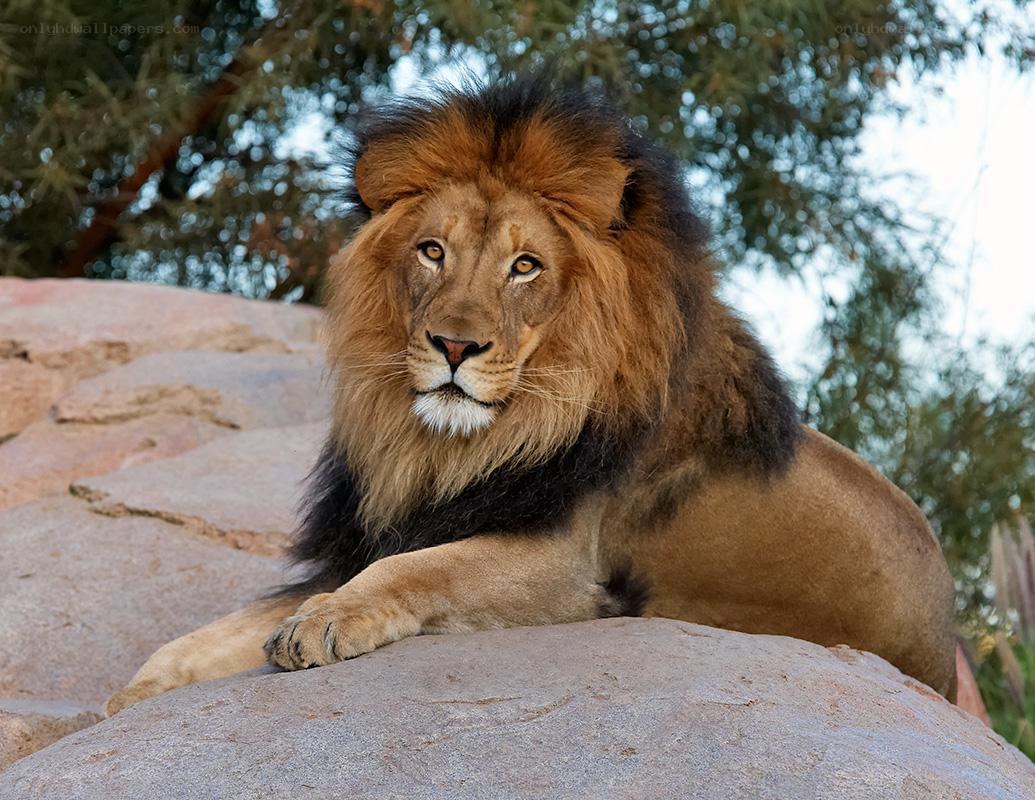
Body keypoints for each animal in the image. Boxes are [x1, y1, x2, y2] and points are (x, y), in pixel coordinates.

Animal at [106, 75, 956, 715]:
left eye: (524, 267)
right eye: (432, 251)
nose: (454, 346)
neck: (447, 447)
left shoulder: (565, 563)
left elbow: (419, 572)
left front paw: (325, 622)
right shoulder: (368, 537)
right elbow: (204, 637)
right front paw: (128, 701)